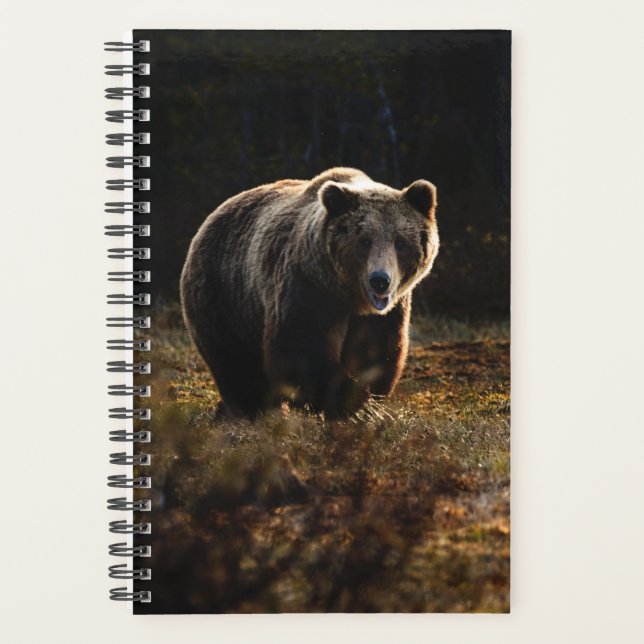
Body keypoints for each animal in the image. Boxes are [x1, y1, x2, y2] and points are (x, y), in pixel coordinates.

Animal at [180, 167, 439, 419]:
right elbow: (300, 347)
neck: (349, 296)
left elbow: (376, 351)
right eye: (365, 240)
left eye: (400, 242)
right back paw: (252, 409)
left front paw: (367, 401)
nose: (380, 281)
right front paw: (355, 404)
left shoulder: (386, 312)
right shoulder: (308, 287)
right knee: (235, 362)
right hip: (224, 296)